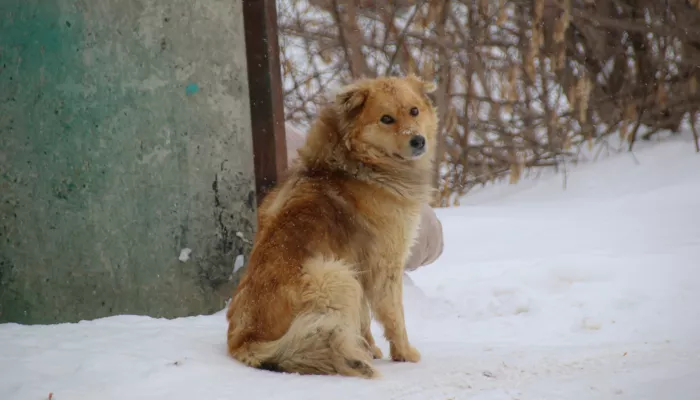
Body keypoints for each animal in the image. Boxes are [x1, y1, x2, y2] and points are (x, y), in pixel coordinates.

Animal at [226, 74, 438, 378]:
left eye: (414, 111)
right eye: (386, 119)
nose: (418, 141)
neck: (357, 162)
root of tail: (245, 341)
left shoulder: (359, 266)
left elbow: (364, 318)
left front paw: (370, 348)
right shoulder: (384, 266)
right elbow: (394, 315)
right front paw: (405, 354)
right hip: (333, 275)